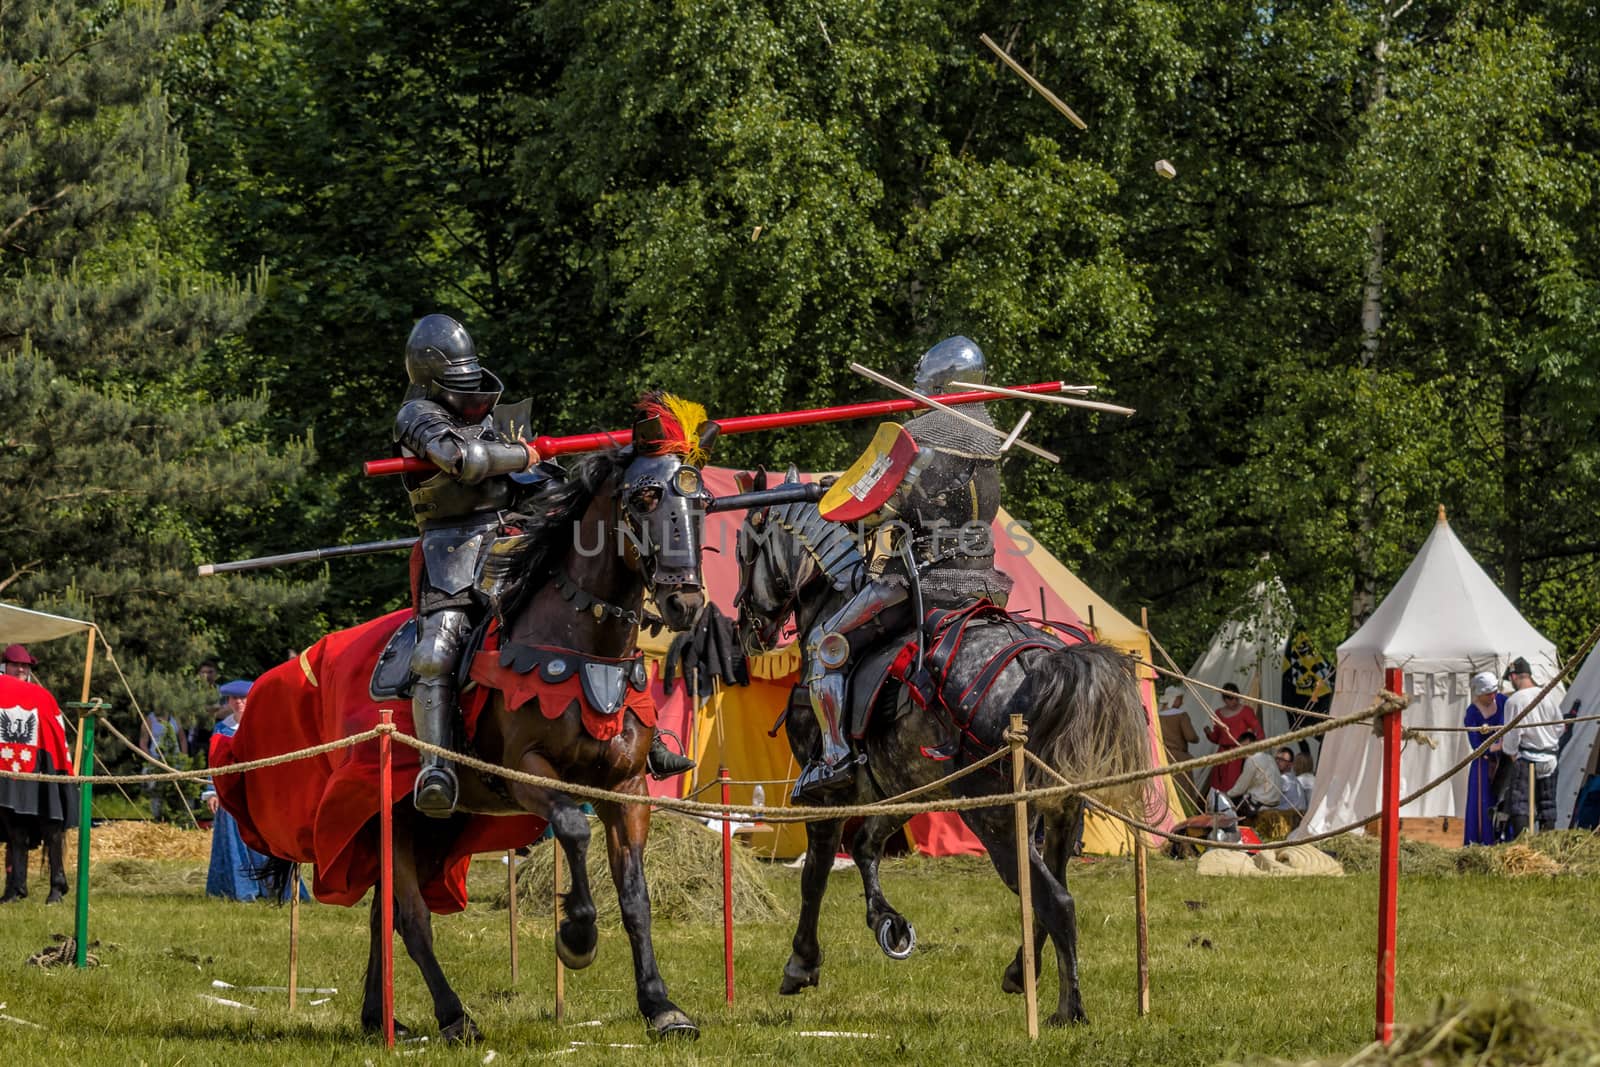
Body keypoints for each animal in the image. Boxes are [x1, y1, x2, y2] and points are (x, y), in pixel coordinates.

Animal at [233, 398, 716, 1043]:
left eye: (701, 502)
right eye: (643, 499)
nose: (684, 601)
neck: (578, 644)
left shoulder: (628, 789)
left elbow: (636, 897)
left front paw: (661, 1006)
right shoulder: (527, 775)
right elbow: (573, 828)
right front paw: (576, 936)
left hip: (421, 828)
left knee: (383, 916)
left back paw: (379, 1018)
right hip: (390, 815)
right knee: (411, 918)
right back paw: (452, 1015)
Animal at [736, 483, 1152, 1023]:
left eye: (746, 552)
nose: (748, 627)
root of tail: (1038, 662)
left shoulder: (827, 799)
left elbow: (816, 873)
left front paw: (802, 964)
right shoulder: (904, 788)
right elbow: (865, 846)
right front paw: (888, 924)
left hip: (996, 819)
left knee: (1054, 899)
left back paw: (1067, 1010)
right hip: (1059, 813)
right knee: (1047, 892)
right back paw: (1022, 974)